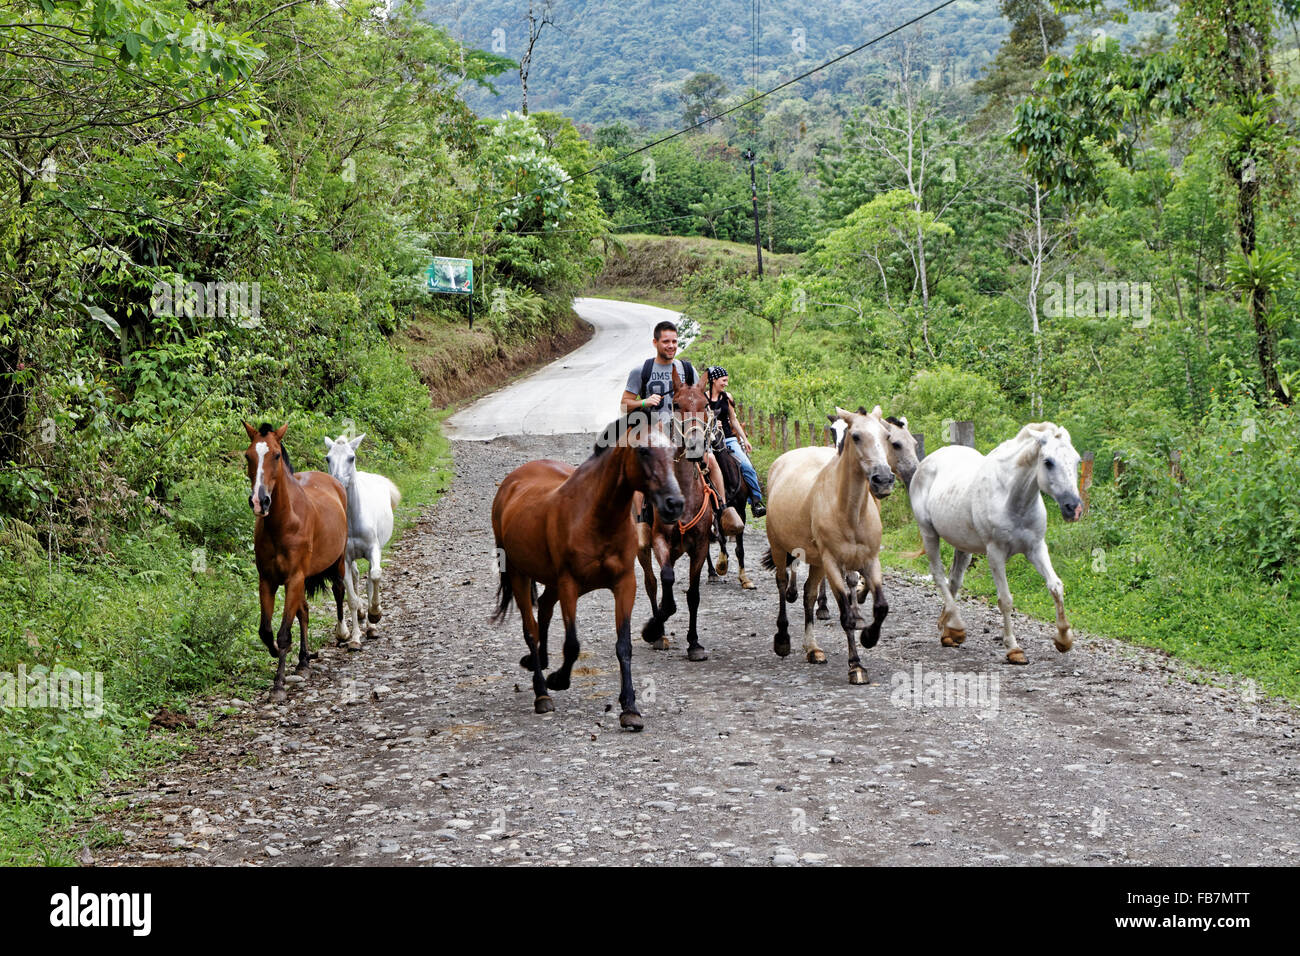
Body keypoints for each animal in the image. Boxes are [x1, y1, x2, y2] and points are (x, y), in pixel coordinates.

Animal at [243, 421, 356, 697]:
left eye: (275, 455)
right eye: (248, 456)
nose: (259, 501)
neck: (283, 523)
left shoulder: (294, 578)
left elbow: (283, 632)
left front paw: (278, 684)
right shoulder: (268, 581)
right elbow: (266, 631)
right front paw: (280, 654)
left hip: (337, 562)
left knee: (338, 591)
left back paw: (343, 633)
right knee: (303, 611)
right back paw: (304, 660)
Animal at [322, 434, 397, 650]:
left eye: (351, 457)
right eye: (328, 458)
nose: (337, 482)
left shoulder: (373, 550)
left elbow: (375, 576)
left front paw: (375, 614)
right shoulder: (345, 559)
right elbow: (352, 599)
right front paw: (355, 638)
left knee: (370, 579)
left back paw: (372, 625)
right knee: (356, 578)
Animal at [488, 413, 691, 733]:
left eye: (673, 452)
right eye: (643, 451)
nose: (674, 504)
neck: (596, 517)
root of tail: (511, 482)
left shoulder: (624, 584)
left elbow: (624, 646)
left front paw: (630, 709)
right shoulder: (569, 584)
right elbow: (572, 644)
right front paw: (558, 680)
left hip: (550, 582)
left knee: (544, 608)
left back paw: (541, 662)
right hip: (520, 576)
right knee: (531, 629)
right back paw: (541, 692)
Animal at [634, 361, 717, 660]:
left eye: (705, 404)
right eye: (678, 404)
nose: (695, 445)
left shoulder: (700, 545)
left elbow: (693, 594)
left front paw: (694, 643)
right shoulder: (659, 539)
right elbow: (666, 581)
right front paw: (652, 628)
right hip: (641, 546)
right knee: (651, 583)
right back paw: (658, 634)